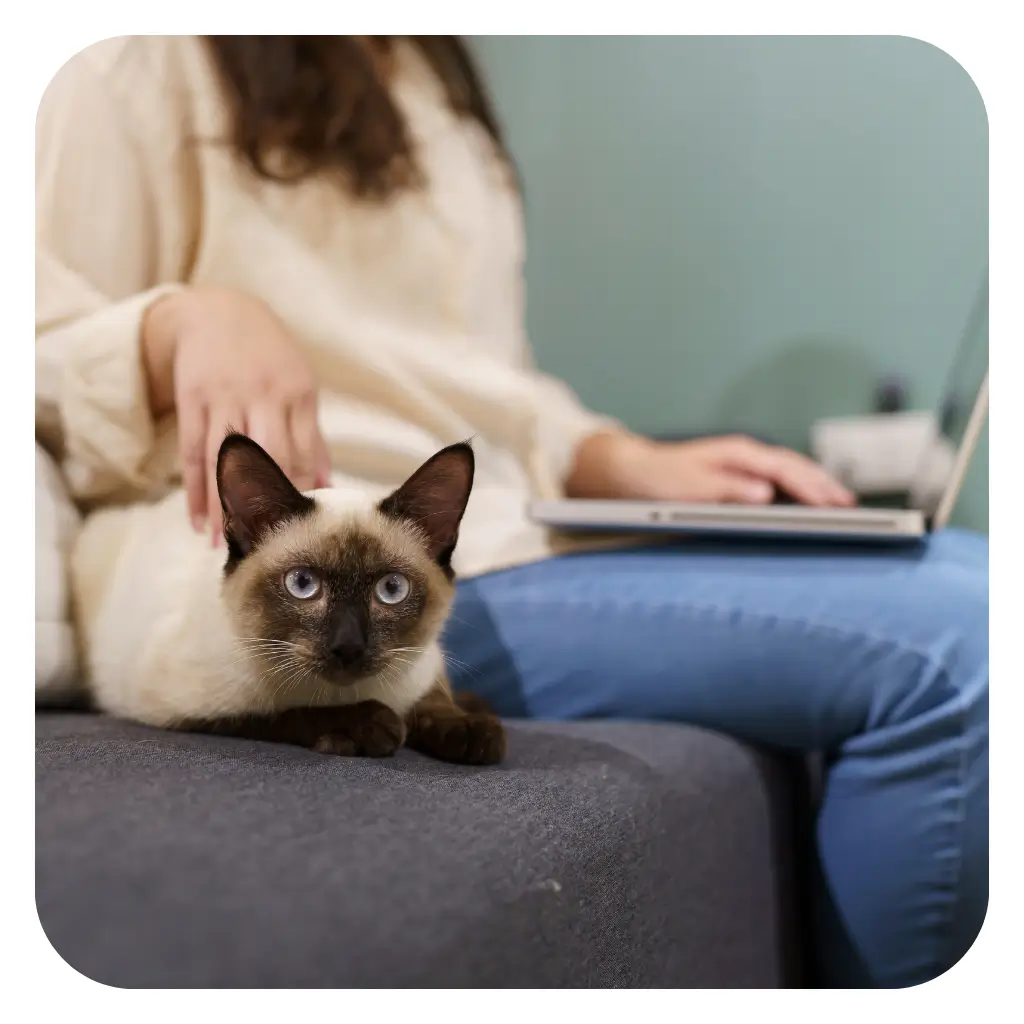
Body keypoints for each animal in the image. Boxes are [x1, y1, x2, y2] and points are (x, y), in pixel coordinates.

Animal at [66, 434, 505, 770]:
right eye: (302, 584)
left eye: (391, 589)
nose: (348, 646)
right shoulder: (185, 708)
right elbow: (282, 713)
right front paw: (370, 726)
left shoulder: (424, 663)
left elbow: (435, 699)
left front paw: (470, 730)